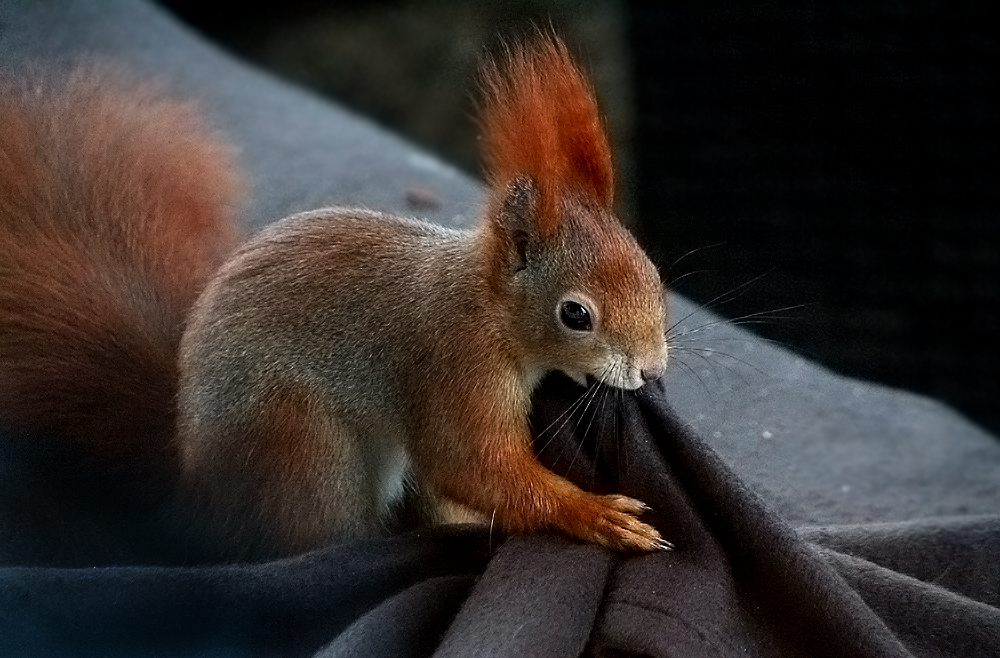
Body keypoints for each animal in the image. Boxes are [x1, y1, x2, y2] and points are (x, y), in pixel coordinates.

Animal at [1, 37, 672, 560]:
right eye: (575, 314)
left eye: (652, 271)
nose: (651, 368)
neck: (485, 309)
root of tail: (199, 488)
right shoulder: (452, 371)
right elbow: (471, 464)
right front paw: (592, 513)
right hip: (306, 447)